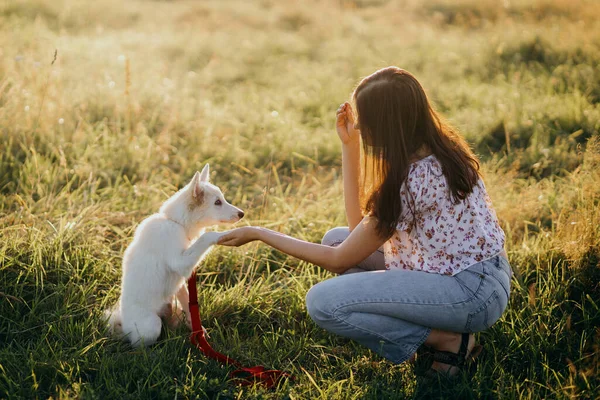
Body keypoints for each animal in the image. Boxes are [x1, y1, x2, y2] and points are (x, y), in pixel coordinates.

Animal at [104, 164, 243, 346]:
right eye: (217, 202)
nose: (242, 214)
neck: (175, 222)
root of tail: (124, 325)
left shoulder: (181, 279)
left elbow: (188, 302)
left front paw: (199, 331)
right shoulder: (180, 262)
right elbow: (206, 236)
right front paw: (221, 235)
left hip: (173, 308)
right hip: (151, 326)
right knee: (139, 344)